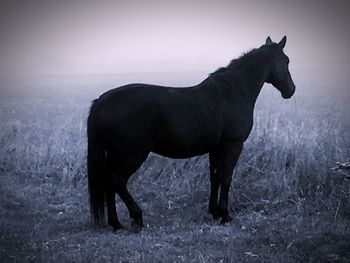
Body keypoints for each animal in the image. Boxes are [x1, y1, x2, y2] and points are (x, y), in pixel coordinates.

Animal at [87, 36, 296, 232]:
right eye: (286, 60)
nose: (291, 90)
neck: (234, 92)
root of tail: (101, 101)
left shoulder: (216, 148)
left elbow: (215, 178)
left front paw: (214, 212)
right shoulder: (233, 145)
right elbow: (226, 178)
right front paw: (225, 215)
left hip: (116, 154)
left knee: (109, 183)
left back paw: (116, 223)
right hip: (132, 154)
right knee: (117, 181)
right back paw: (136, 217)